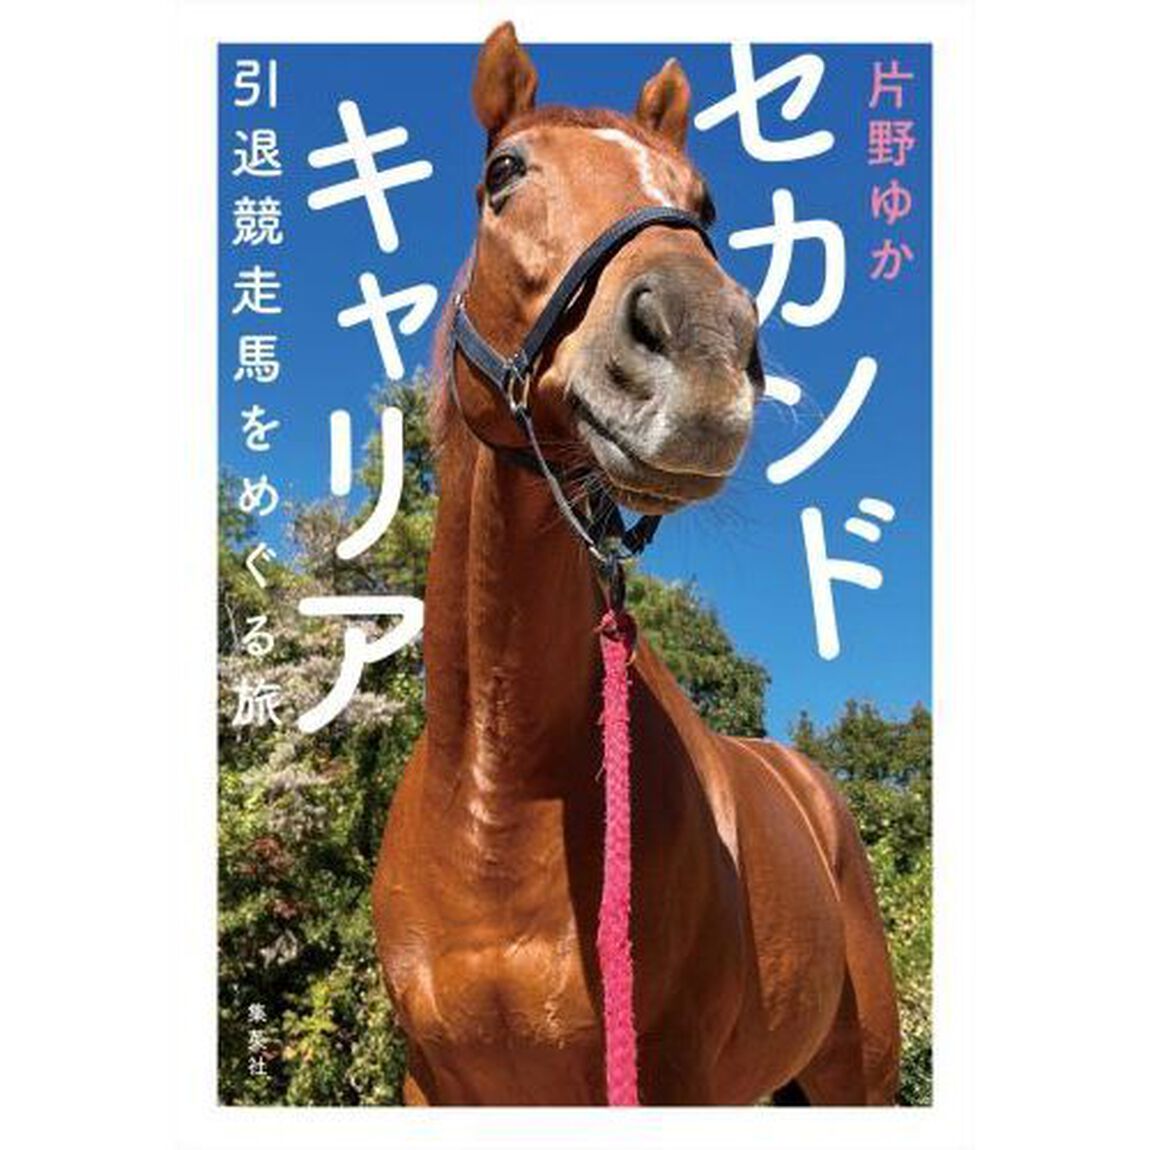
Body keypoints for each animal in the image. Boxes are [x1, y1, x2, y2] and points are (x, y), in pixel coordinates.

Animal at [372, 22, 900, 1105]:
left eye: (703, 205)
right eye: (503, 173)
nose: (702, 350)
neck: (498, 800)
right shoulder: (435, 1085)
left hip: (855, 1074)